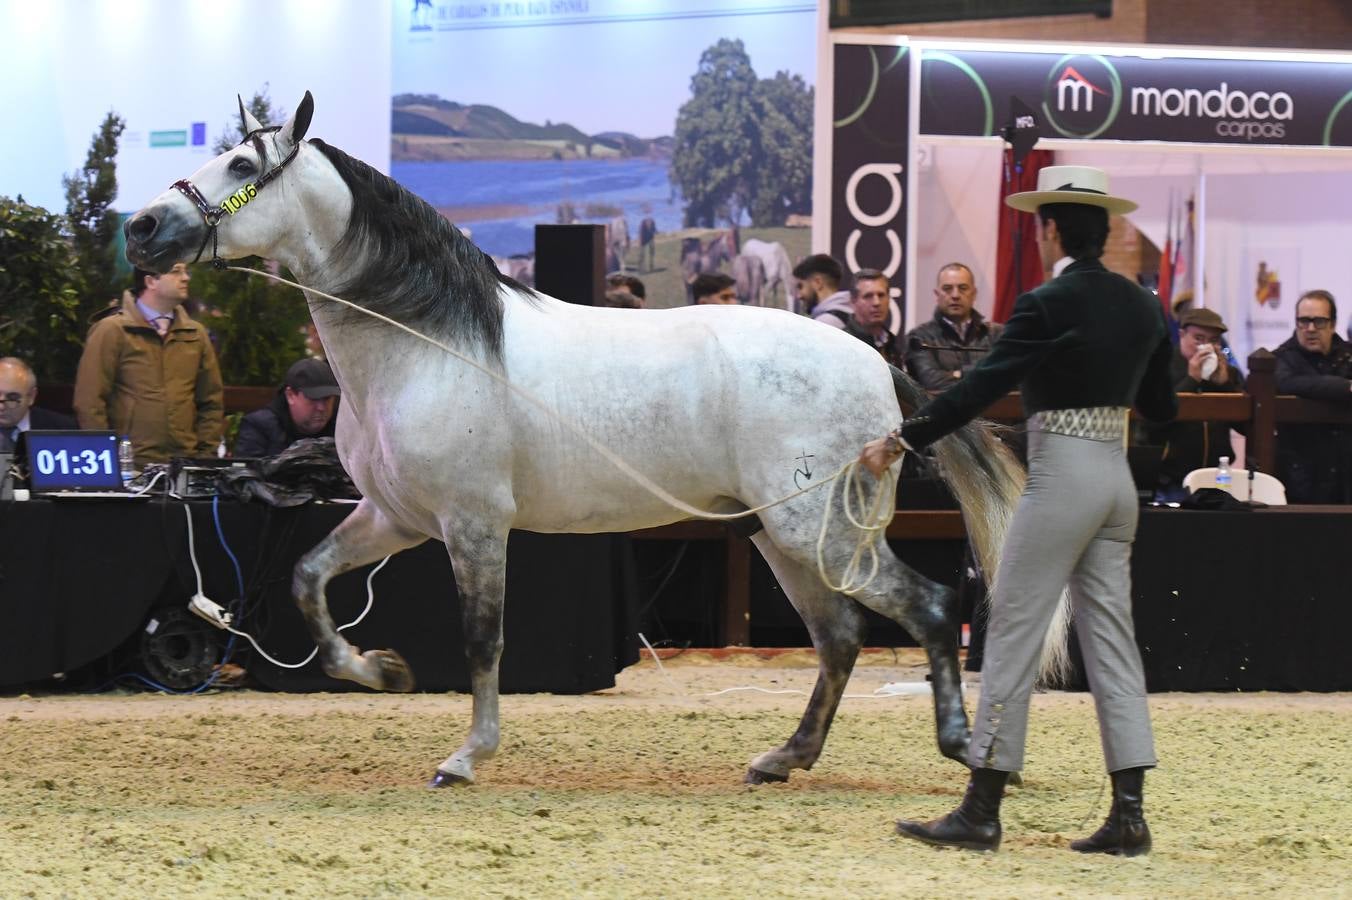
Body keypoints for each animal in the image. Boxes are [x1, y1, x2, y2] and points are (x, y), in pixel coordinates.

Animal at [124, 92, 1032, 783]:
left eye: (244, 168)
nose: (141, 228)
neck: (432, 342)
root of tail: (882, 370)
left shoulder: (473, 525)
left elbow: (483, 640)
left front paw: (467, 757)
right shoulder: (395, 518)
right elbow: (309, 582)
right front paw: (379, 671)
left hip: (821, 531)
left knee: (927, 608)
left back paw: (958, 745)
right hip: (778, 535)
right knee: (840, 636)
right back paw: (784, 758)